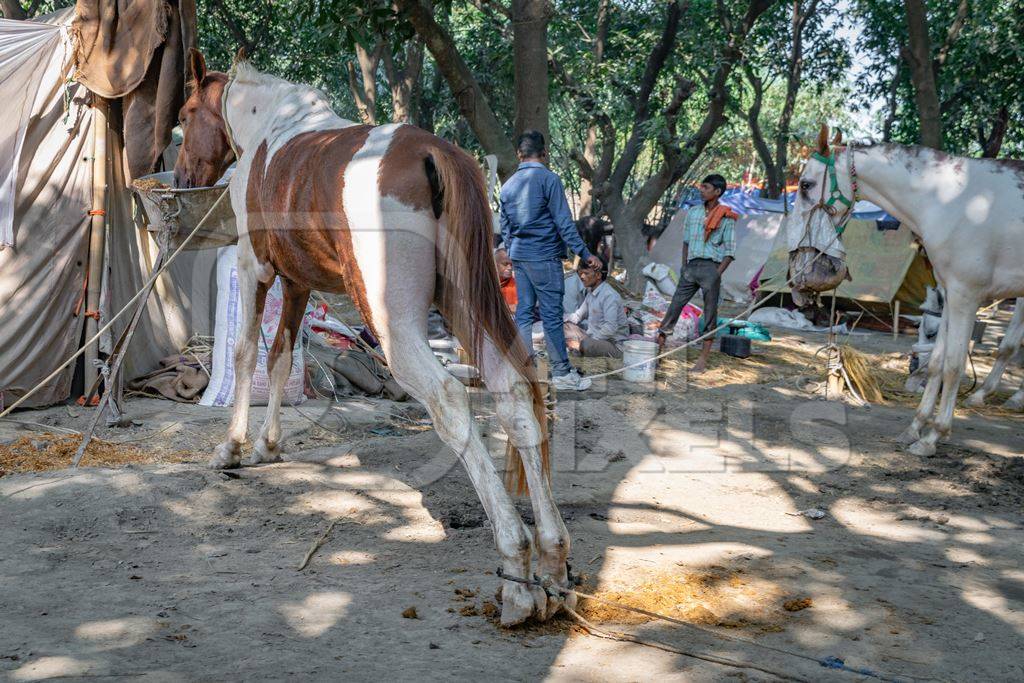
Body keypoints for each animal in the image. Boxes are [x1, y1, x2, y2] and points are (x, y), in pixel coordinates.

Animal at [790, 125, 1024, 456]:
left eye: (806, 184)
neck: (950, 202)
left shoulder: (966, 295)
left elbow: (954, 366)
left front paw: (933, 436)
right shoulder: (950, 294)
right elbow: (937, 363)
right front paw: (915, 427)